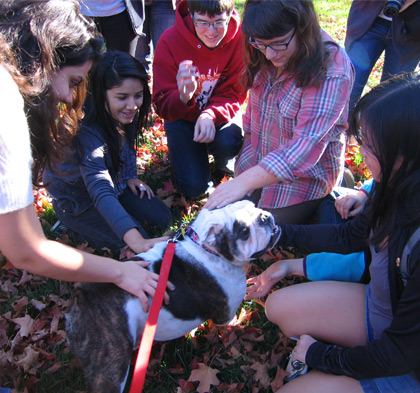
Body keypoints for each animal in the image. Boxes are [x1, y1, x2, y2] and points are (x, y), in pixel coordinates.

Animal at [65, 201, 280, 390]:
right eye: (243, 232)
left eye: (253, 205)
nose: (264, 216)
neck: (205, 249)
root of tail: (80, 298)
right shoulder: (225, 314)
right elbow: (230, 323)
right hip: (112, 368)